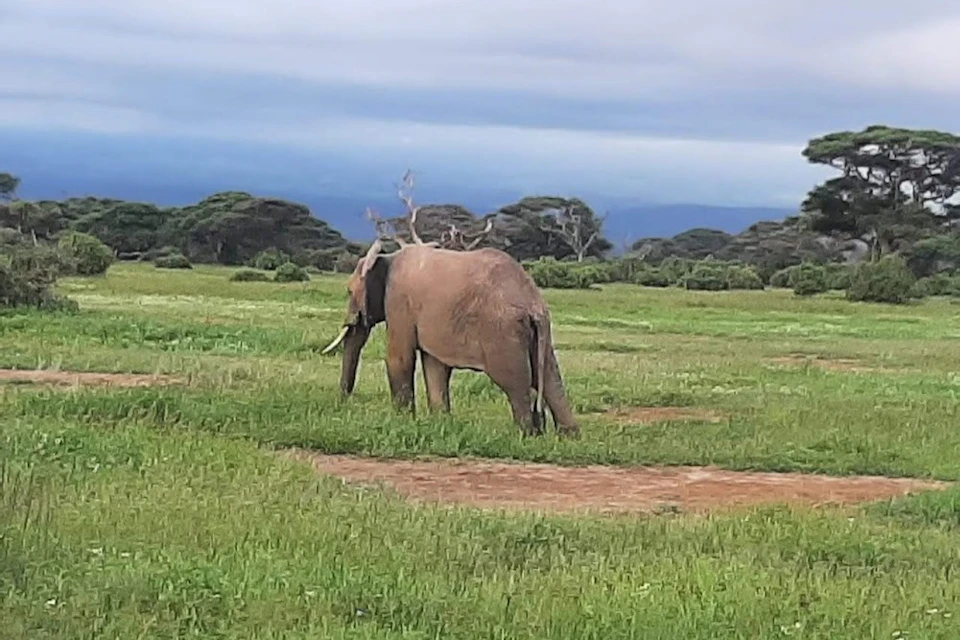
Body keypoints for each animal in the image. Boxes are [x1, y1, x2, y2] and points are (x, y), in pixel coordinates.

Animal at [321, 240, 580, 437]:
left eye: (348, 291)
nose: (342, 405)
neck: (386, 258)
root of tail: (532, 302)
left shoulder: (398, 302)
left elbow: (399, 358)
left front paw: (402, 422)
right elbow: (435, 366)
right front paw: (440, 423)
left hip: (503, 332)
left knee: (515, 382)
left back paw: (526, 435)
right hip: (537, 332)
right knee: (551, 379)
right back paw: (566, 437)